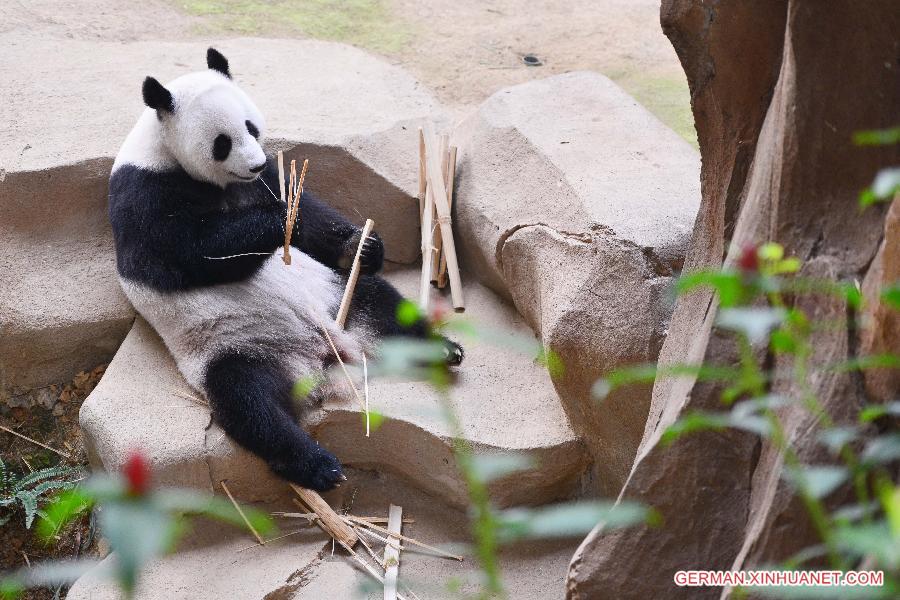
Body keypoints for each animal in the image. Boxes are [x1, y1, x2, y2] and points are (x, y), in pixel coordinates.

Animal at [110, 49, 464, 492]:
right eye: (222, 143)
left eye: (251, 126)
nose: (255, 163)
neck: (165, 152)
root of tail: (318, 360)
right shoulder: (144, 194)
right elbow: (185, 254)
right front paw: (277, 221)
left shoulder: (265, 181)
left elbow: (308, 214)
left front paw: (361, 245)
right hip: (233, 348)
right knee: (252, 405)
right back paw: (318, 465)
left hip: (334, 294)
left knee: (381, 304)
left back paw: (441, 349)